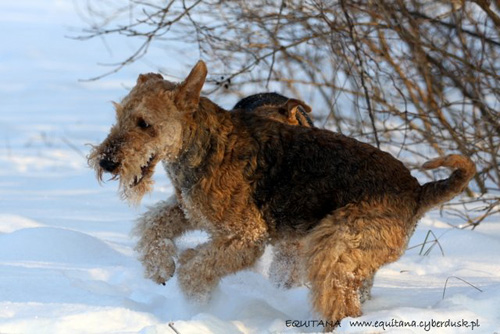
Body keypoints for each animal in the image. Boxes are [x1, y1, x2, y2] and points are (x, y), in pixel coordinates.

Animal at [88, 61, 474, 330]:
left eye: (144, 124)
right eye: (119, 115)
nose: (106, 162)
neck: (198, 144)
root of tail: (417, 190)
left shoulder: (246, 235)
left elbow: (194, 266)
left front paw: (197, 305)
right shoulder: (190, 210)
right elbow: (153, 227)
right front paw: (160, 270)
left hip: (332, 245)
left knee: (339, 304)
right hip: (352, 255)